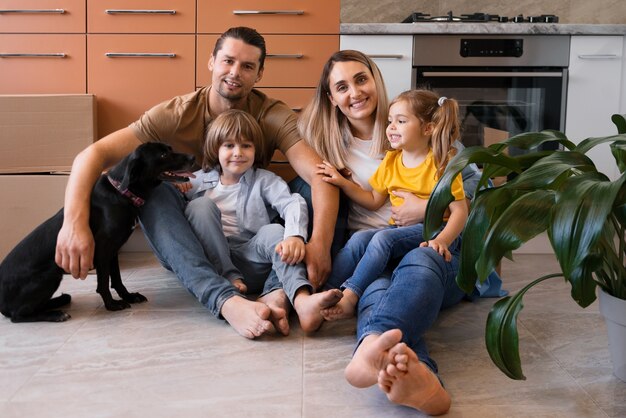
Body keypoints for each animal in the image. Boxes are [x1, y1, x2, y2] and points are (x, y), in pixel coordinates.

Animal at [0, 144, 194, 324]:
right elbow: (103, 283)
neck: (120, 192)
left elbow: (117, 279)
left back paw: (59, 301)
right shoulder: (102, 250)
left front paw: (129, 296)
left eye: (170, 148)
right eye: (163, 155)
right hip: (49, 276)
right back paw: (55, 314)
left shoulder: (113, 251)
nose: (193, 157)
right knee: (17, 315)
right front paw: (112, 305)